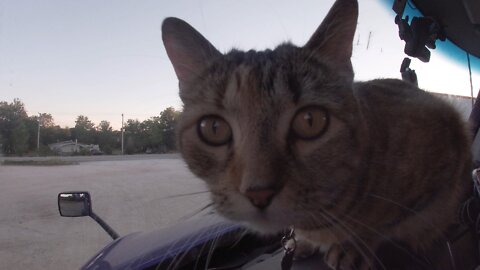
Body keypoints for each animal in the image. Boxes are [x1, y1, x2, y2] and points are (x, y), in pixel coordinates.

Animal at [162, 0, 472, 268]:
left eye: (310, 121)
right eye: (213, 128)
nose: (259, 192)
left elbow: (387, 223)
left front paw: (354, 244)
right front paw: (304, 242)